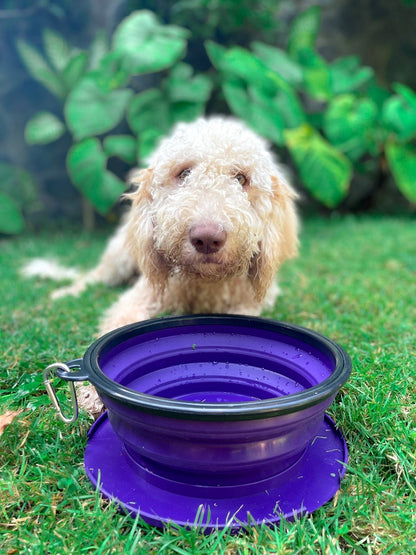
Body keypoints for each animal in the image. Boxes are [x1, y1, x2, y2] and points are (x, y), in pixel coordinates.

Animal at [25, 117, 300, 416]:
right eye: (184, 173)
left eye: (241, 179)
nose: (206, 238)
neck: (203, 283)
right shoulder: (139, 298)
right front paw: (91, 392)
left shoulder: (250, 303)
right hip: (120, 258)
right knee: (93, 277)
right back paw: (65, 293)